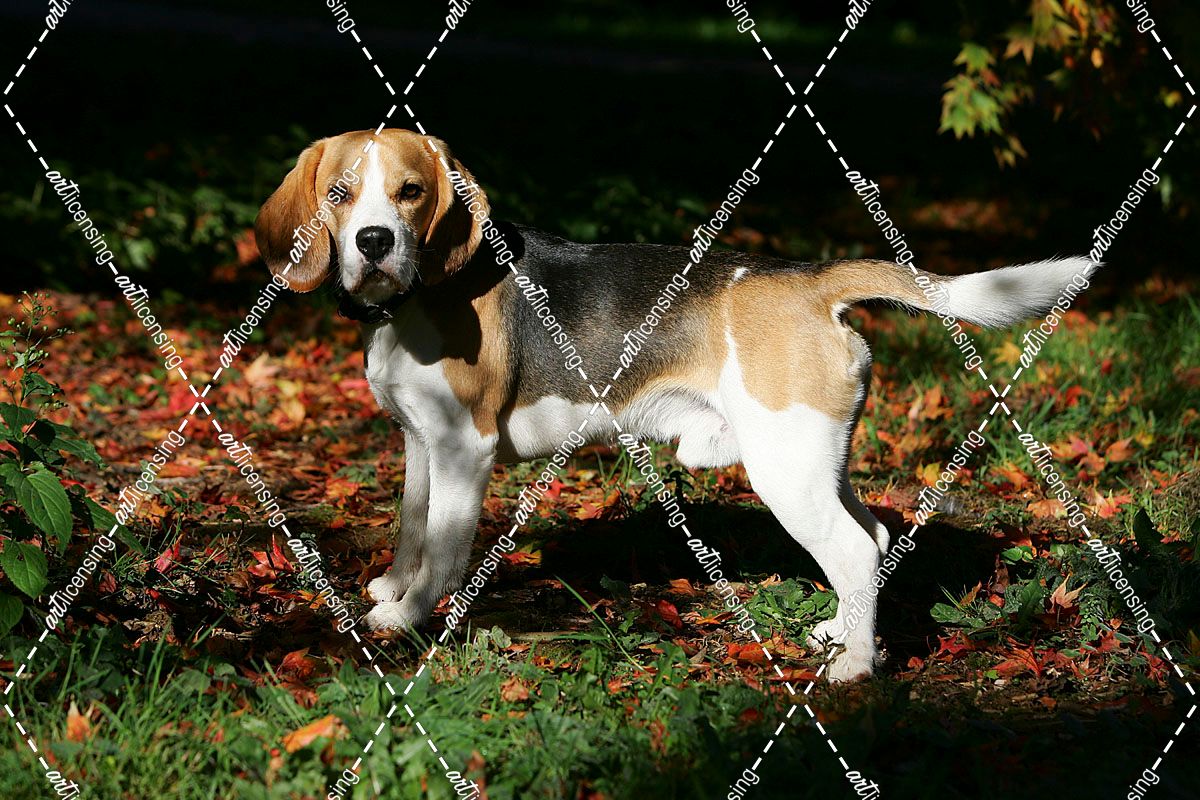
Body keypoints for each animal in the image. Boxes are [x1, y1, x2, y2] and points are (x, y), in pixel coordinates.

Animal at [255, 128, 1094, 681]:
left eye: (412, 194)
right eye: (338, 195)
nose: (373, 241)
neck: (414, 299)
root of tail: (809, 278)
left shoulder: (465, 448)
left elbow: (443, 548)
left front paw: (407, 617)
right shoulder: (420, 442)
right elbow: (411, 526)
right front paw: (393, 587)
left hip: (784, 469)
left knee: (855, 550)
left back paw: (854, 671)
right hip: (816, 460)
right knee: (875, 538)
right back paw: (841, 634)